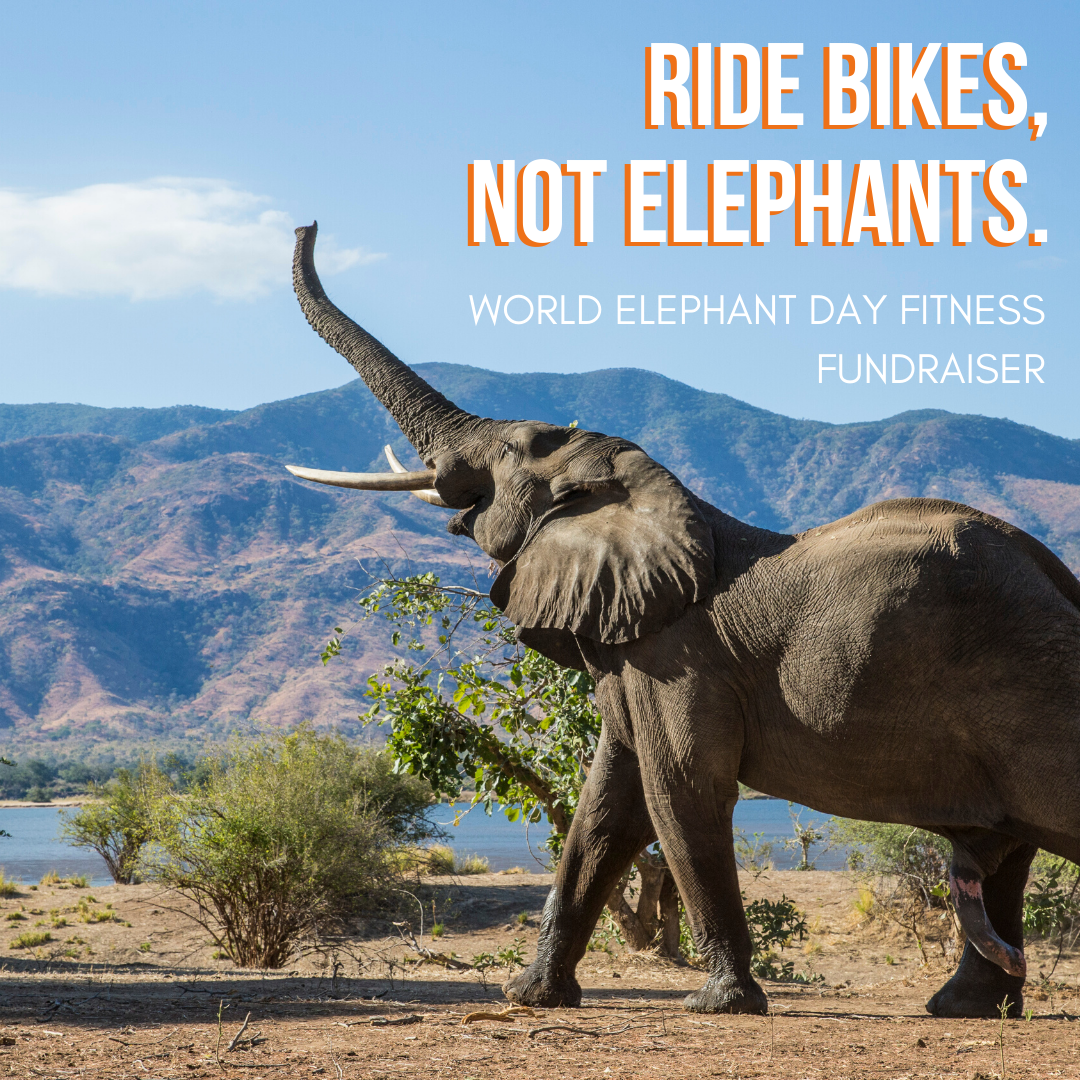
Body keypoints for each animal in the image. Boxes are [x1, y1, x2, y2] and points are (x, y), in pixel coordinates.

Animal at [286, 222, 1080, 1019]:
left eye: (511, 454)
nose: (306, 227)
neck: (649, 491)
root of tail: (1062, 584)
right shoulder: (634, 657)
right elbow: (606, 807)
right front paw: (533, 996)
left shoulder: (679, 658)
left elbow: (681, 791)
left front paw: (721, 1003)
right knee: (1006, 854)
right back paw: (962, 1007)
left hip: (1030, 689)